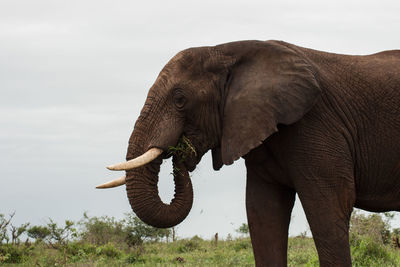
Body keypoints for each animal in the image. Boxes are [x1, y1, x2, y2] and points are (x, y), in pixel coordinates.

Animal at [98, 40, 400, 267]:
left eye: (180, 100)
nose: (181, 152)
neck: (227, 51)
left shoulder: (316, 124)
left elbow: (329, 207)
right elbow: (263, 212)